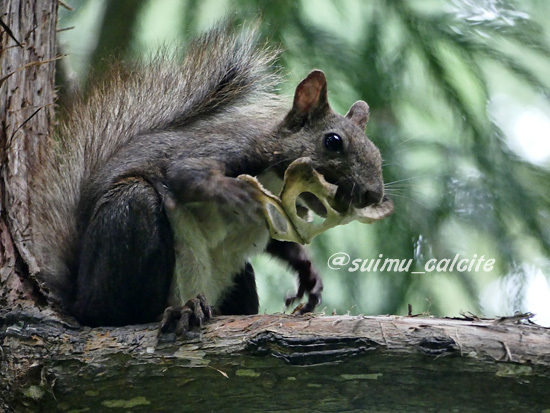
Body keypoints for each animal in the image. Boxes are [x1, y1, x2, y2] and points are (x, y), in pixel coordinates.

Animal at [31, 25, 392, 328]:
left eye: (377, 152)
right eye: (333, 142)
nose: (372, 194)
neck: (275, 178)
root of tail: (80, 299)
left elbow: (281, 240)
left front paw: (308, 272)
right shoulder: (224, 150)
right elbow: (186, 173)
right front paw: (239, 195)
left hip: (238, 280)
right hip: (130, 217)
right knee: (117, 312)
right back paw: (174, 310)